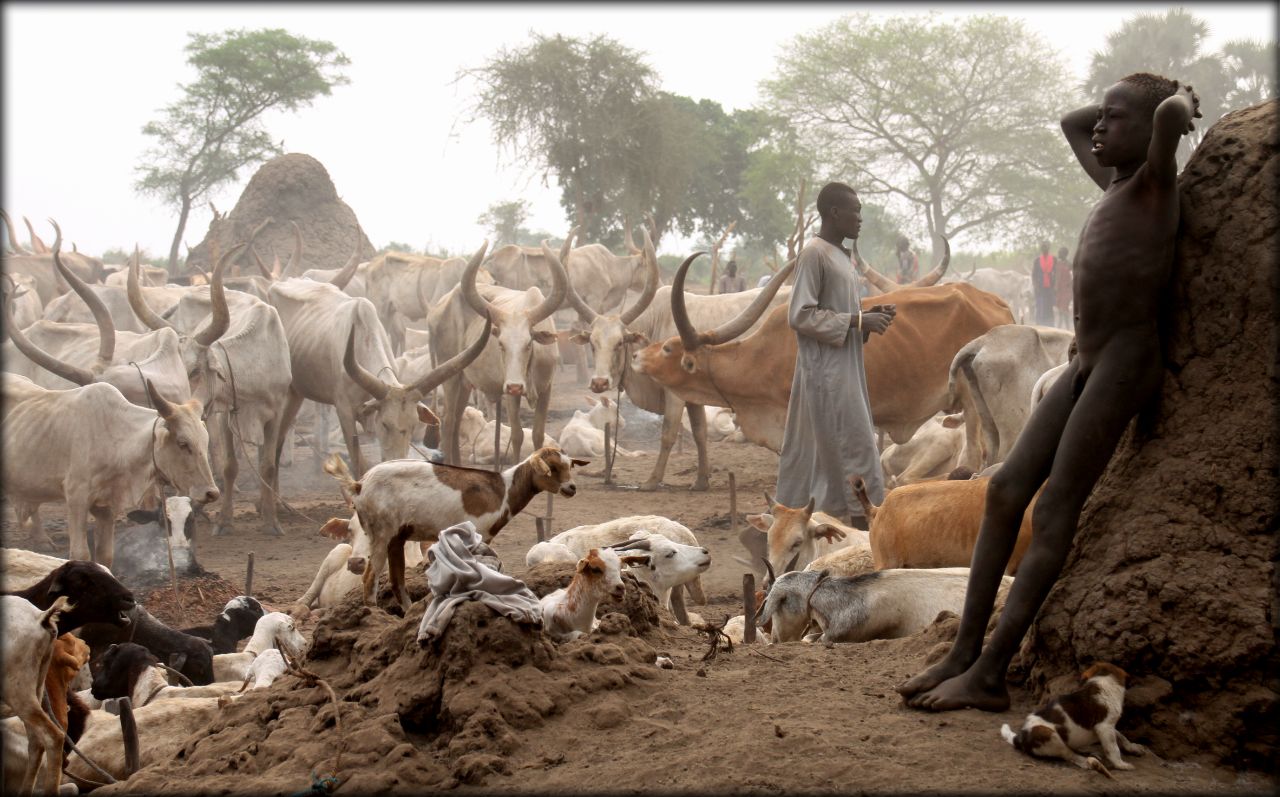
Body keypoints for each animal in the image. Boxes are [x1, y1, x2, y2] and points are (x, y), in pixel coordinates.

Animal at [330, 450, 588, 611]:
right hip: (381, 532)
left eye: (569, 466)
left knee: (396, 581)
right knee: (370, 577)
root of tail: (359, 485)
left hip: (396, 537)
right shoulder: (480, 534)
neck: (503, 490)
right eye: (551, 468)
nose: (571, 488)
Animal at [998, 660, 1152, 777]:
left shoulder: (1109, 726)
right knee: (1069, 755)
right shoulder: (1104, 727)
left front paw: (1134, 748)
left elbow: (1122, 737)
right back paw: (1087, 762)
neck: (1103, 680)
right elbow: (1113, 748)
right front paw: (1121, 764)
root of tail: (1020, 737)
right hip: (1049, 734)